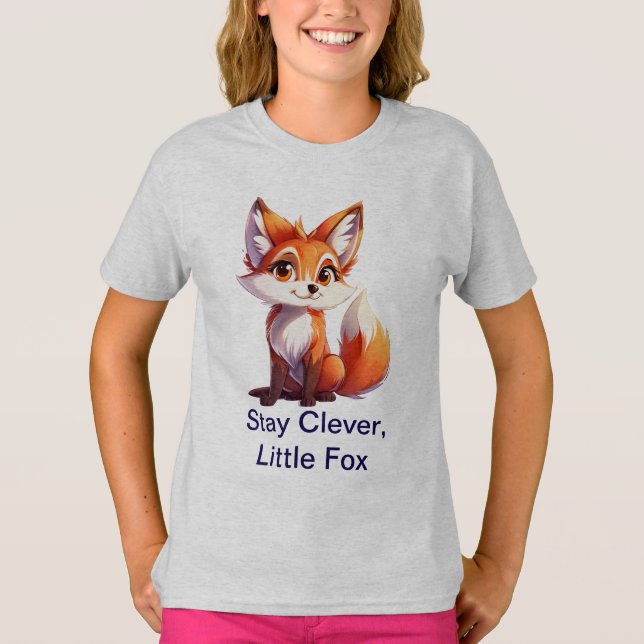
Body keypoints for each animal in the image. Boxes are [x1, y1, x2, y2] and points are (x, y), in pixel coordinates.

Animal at [236, 196, 390, 407]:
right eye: (283, 270)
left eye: (325, 275)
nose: (313, 287)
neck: (295, 321)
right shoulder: (277, 356)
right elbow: (275, 382)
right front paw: (272, 399)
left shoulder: (314, 354)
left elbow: (311, 380)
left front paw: (308, 400)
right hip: (292, 378)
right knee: (288, 388)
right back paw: (291, 396)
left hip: (334, 363)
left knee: (325, 387)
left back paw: (324, 395)